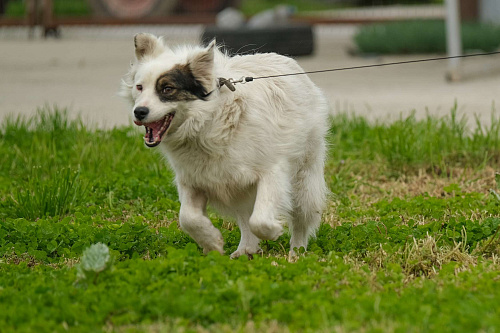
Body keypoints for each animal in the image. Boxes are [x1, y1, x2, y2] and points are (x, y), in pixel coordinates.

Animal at [120, 33, 330, 256]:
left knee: (300, 217)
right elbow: (187, 218)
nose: (139, 112)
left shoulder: (272, 172)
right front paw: (212, 242)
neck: (207, 122)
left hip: (303, 177)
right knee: (244, 216)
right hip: (237, 186)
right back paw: (245, 250)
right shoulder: (192, 180)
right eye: (139, 87)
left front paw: (273, 232)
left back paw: (296, 251)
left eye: (167, 89)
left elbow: (260, 219)